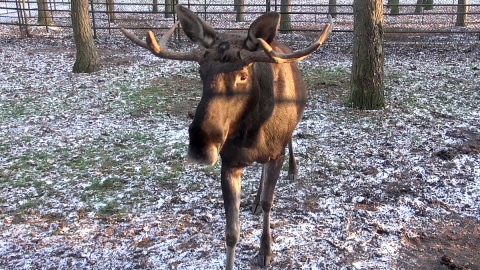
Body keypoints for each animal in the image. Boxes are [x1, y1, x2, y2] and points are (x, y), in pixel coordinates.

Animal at [120, 5, 332, 268]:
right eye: (201, 72)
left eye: (242, 75)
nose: (201, 144)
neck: (252, 135)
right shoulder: (229, 162)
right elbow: (231, 232)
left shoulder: (276, 153)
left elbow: (269, 202)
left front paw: (265, 250)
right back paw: (254, 198)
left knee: (290, 143)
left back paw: (292, 170)